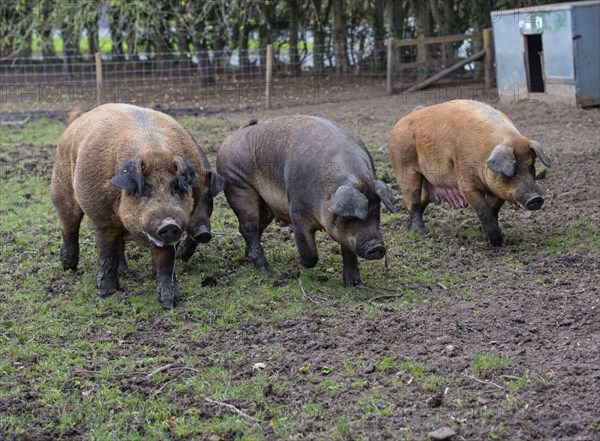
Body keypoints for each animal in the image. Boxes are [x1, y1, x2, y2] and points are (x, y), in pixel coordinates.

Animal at [50, 104, 224, 308]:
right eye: (144, 189)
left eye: (175, 187)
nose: (169, 223)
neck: (153, 151)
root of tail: (76, 121)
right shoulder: (102, 220)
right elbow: (106, 255)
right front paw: (107, 294)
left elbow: (165, 263)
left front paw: (171, 304)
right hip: (61, 189)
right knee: (69, 226)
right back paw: (69, 267)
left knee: (118, 244)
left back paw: (124, 272)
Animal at [214, 114, 394, 286]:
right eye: (351, 217)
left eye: (376, 212)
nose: (377, 247)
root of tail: (230, 137)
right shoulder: (297, 213)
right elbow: (310, 253)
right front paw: (301, 265)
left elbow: (348, 252)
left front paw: (353, 284)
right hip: (237, 185)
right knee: (248, 228)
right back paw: (268, 271)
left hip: (265, 208)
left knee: (254, 229)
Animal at [386, 98, 552, 246]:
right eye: (512, 170)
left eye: (531, 166)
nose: (536, 198)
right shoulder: (466, 184)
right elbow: (484, 210)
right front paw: (497, 242)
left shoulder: (498, 190)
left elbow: (493, 210)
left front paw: (487, 235)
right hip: (404, 170)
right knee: (412, 202)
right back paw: (422, 232)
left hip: (427, 183)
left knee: (420, 203)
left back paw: (408, 229)